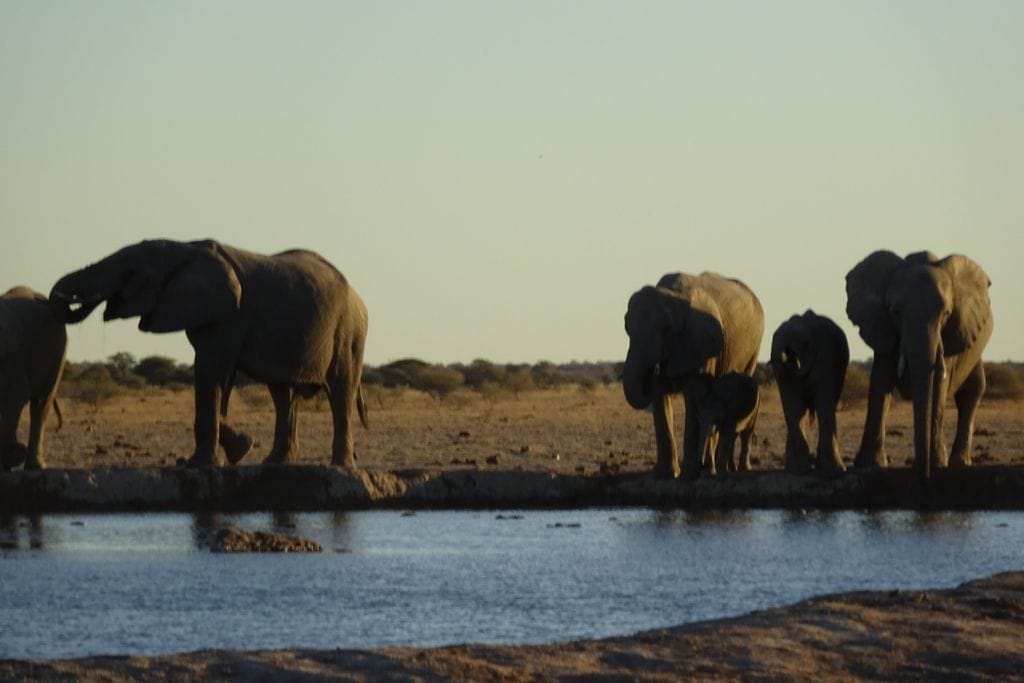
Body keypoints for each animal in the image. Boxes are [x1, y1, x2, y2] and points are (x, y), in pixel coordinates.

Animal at [0, 287, 67, 470]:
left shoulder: (13, 355)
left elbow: (14, 398)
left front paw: (13, 459)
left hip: (58, 351)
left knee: (40, 404)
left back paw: (35, 466)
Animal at [50, 239, 369, 469]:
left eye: (132, 274)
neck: (183, 248)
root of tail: (357, 293)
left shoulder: (230, 315)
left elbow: (211, 371)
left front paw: (204, 463)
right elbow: (212, 374)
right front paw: (240, 449)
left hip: (349, 330)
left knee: (340, 390)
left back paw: (341, 468)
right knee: (282, 393)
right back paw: (274, 463)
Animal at [623, 272, 764, 479]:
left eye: (667, 330)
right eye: (627, 329)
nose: (653, 367)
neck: (673, 295)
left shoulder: (700, 347)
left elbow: (693, 397)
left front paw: (688, 474)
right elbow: (660, 400)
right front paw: (664, 474)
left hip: (754, 347)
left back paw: (725, 469)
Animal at [845, 250, 993, 479]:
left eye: (946, 314)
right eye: (895, 312)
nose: (923, 476)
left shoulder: (948, 334)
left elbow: (939, 384)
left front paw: (936, 464)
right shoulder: (883, 326)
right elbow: (880, 382)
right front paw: (870, 465)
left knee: (972, 391)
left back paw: (960, 463)